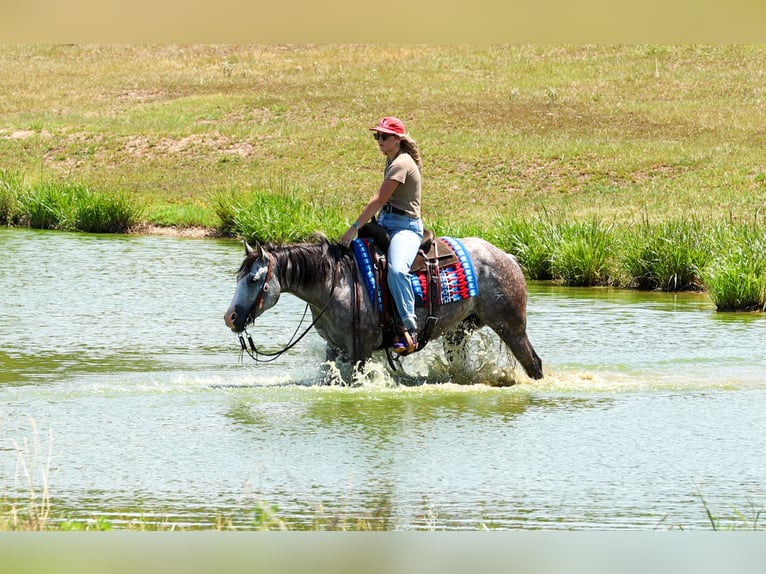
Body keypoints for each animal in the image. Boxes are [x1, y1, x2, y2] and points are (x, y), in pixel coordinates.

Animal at [223, 234, 543, 382]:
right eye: (239, 277)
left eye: (253, 279)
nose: (231, 318)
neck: (336, 282)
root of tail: (508, 258)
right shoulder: (334, 349)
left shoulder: (361, 350)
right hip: (457, 334)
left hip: (511, 328)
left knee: (534, 364)